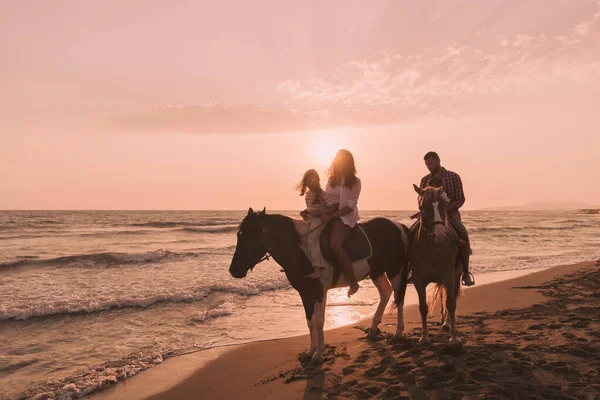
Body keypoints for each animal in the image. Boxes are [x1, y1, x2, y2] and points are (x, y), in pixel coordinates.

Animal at [231, 209, 412, 362]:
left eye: (250, 236)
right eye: (239, 235)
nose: (234, 270)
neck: (301, 250)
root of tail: (399, 226)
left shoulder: (319, 291)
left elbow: (319, 322)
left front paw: (319, 354)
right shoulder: (304, 292)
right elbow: (310, 322)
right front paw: (310, 352)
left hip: (395, 270)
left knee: (399, 297)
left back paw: (398, 332)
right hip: (376, 271)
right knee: (386, 293)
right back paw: (374, 329)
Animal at [410, 186, 462, 346]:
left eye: (443, 205)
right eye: (422, 207)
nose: (439, 235)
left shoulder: (449, 276)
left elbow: (451, 303)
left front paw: (454, 338)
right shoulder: (418, 280)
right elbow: (423, 307)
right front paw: (425, 337)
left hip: (456, 276)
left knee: (451, 298)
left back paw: (448, 324)